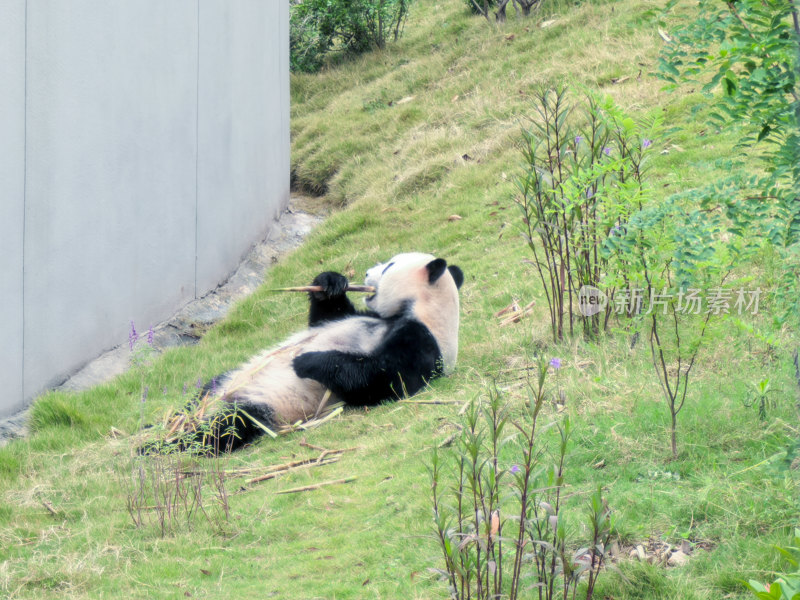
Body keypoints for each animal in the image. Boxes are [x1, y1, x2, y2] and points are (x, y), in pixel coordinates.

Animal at [166, 251, 466, 452]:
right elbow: (327, 316)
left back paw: (173, 442)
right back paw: (170, 425)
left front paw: (306, 361)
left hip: (269, 406)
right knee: (202, 395)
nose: (368, 272)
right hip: (225, 382)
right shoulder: (366, 316)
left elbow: (384, 378)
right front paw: (331, 283)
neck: (422, 311)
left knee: (228, 427)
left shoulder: (423, 341)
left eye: (390, 265)